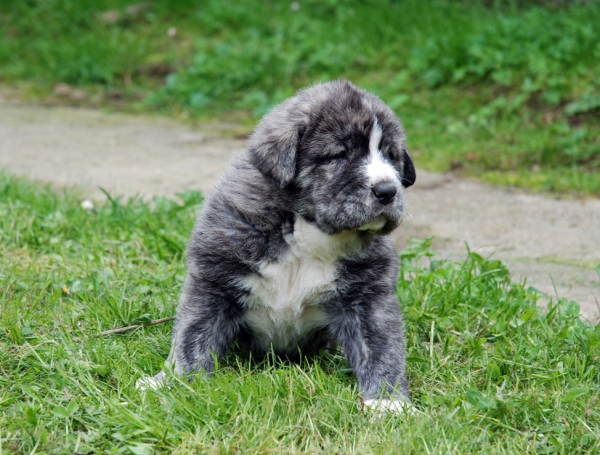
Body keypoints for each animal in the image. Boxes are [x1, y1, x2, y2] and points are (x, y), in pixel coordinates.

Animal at [138, 81, 414, 414]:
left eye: (391, 155)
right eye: (340, 155)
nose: (387, 190)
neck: (306, 232)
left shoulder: (368, 294)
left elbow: (381, 345)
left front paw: (387, 402)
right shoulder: (213, 278)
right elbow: (193, 333)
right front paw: (176, 382)